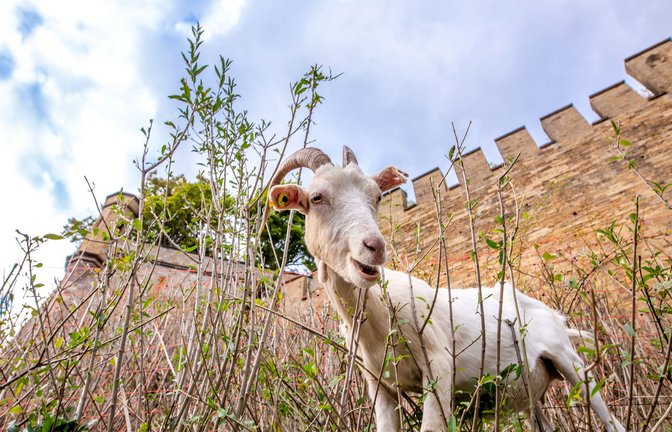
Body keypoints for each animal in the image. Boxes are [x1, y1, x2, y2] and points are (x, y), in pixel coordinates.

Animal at [268, 146, 625, 432]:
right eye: (317, 197)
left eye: (378, 197)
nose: (374, 247)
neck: (382, 314)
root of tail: (555, 316)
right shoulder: (381, 388)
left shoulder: (439, 370)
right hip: (530, 398)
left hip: (570, 362)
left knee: (611, 421)